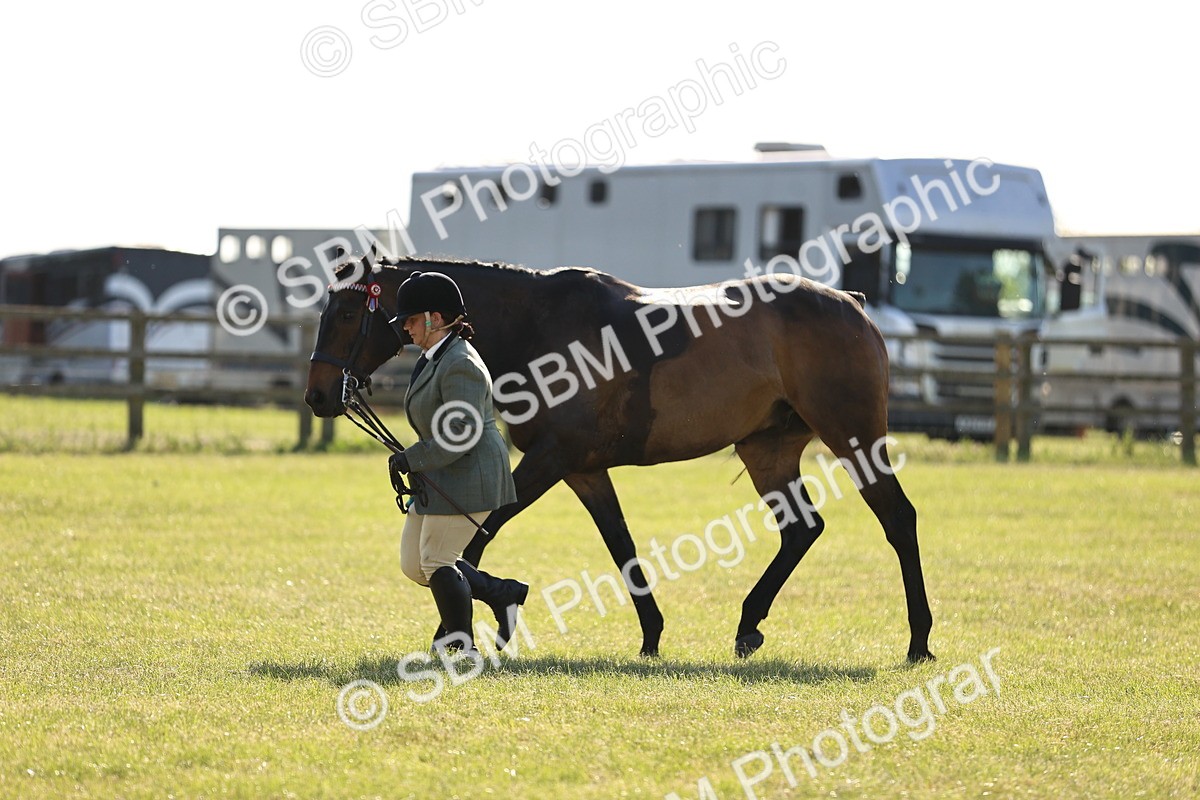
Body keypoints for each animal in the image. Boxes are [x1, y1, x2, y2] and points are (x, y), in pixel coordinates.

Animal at [304, 256, 934, 663]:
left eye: (345, 315)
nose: (317, 395)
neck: (537, 326)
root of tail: (852, 304)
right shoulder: (583, 469)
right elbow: (620, 544)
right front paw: (651, 635)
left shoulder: (550, 459)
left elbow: (477, 540)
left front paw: (462, 626)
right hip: (768, 449)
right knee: (802, 529)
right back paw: (748, 626)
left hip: (853, 437)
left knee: (899, 519)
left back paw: (919, 641)